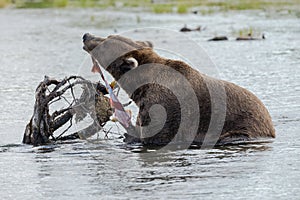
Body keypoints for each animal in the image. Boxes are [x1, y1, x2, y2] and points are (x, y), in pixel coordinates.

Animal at [83, 33, 276, 147]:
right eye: (108, 36)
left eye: (105, 43)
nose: (86, 36)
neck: (142, 84)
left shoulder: (166, 105)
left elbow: (156, 134)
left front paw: (130, 136)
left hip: (245, 126)